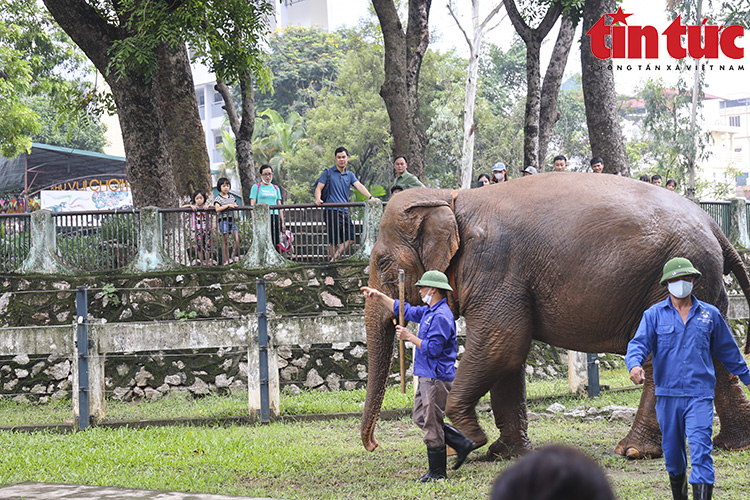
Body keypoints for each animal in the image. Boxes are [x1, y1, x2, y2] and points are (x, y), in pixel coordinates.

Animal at [362, 174, 750, 462]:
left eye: (382, 262)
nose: (372, 445)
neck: (450, 197)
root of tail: (713, 224)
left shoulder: (495, 266)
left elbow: (501, 344)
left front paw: (472, 440)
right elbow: (508, 357)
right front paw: (503, 453)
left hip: (670, 277)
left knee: (664, 357)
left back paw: (634, 450)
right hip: (703, 282)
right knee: (712, 350)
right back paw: (731, 444)